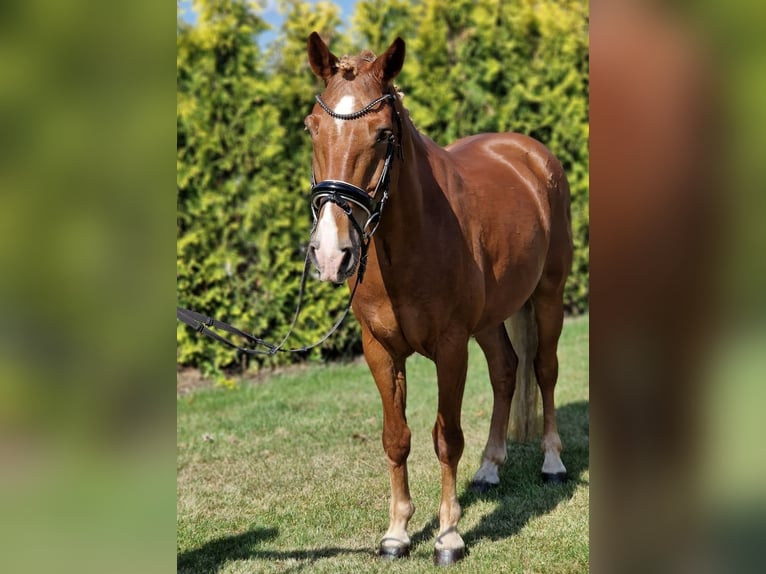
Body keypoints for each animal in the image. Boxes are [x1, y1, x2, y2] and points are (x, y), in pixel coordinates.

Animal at [304, 32, 573, 565]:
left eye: (383, 134)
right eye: (311, 128)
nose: (330, 253)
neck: (411, 239)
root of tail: (531, 154)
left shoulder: (451, 347)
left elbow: (446, 439)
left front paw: (448, 537)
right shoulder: (380, 350)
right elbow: (396, 438)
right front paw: (396, 534)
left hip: (549, 296)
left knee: (544, 370)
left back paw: (552, 463)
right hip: (490, 320)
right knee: (507, 371)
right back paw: (489, 470)